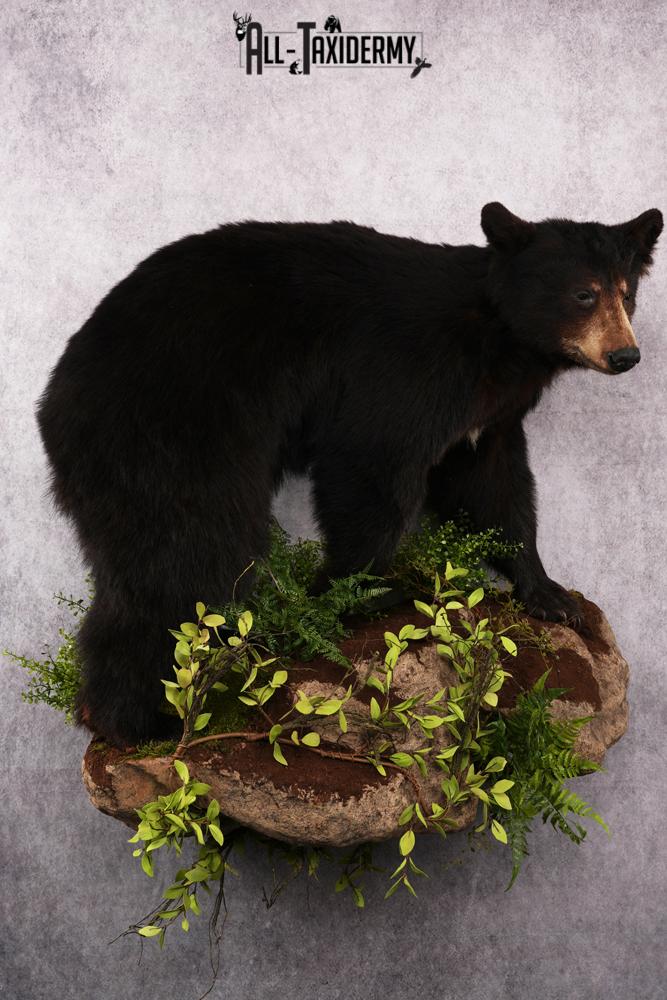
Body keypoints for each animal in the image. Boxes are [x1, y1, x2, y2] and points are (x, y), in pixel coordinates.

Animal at [36, 202, 662, 748]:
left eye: (628, 292)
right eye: (584, 293)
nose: (625, 355)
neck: (495, 336)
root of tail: (57, 394)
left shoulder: (486, 418)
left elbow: (494, 490)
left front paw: (550, 594)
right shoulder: (407, 369)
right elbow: (371, 466)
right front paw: (355, 594)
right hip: (173, 429)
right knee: (190, 550)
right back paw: (141, 717)